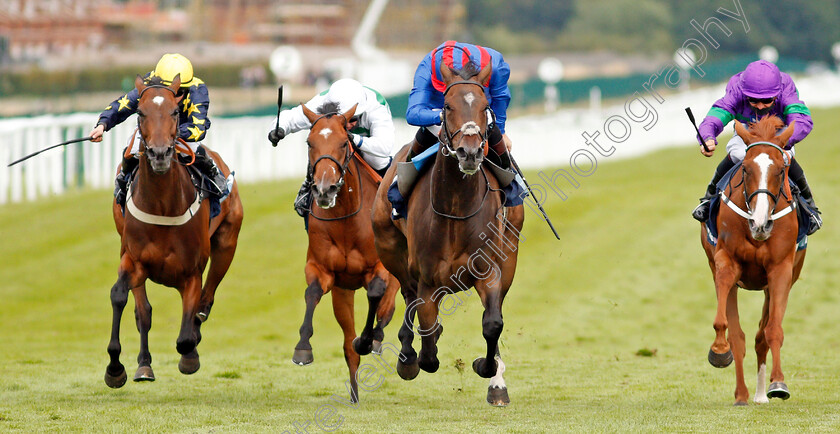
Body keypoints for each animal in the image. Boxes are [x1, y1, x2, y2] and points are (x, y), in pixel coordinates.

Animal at [104, 73, 243, 386]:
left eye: (175, 112)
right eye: (140, 113)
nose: (159, 154)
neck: (162, 205)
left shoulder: (191, 272)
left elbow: (185, 336)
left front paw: (190, 356)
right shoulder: (133, 259)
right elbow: (121, 297)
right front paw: (115, 367)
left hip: (227, 243)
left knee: (206, 300)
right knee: (143, 312)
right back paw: (144, 365)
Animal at [292, 101, 400, 404]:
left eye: (343, 143)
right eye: (309, 142)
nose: (324, 189)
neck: (346, 220)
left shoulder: (380, 269)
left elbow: (376, 294)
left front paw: (368, 338)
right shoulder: (323, 270)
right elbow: (312, 293)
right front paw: (303, 348)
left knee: (388, 307)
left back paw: (375, 337)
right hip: (343, 292)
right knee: (348, 342)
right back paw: (354, 393)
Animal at [370, 62, 520, 406]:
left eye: (485, 106)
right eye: (448, 106)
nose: (469, 152)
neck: (455, 206)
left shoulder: (489, 270)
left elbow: (493, 323)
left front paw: (487, 370)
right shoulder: (428, 278)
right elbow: (427, 341)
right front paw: (415, 357)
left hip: (510, 254)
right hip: (391, 249)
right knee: (408, 297)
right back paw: (407, 356)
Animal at [700, 116, 804, 406]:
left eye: (781, 170)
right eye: (745, 169)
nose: (760, 224)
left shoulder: (781, 270)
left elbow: (773, 331)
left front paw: (778, 383)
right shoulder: (725, 261)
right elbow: (730, 329)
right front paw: (719, 350)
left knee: (762, 335)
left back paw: (760, 394)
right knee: (741, 337)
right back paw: (744, 395)